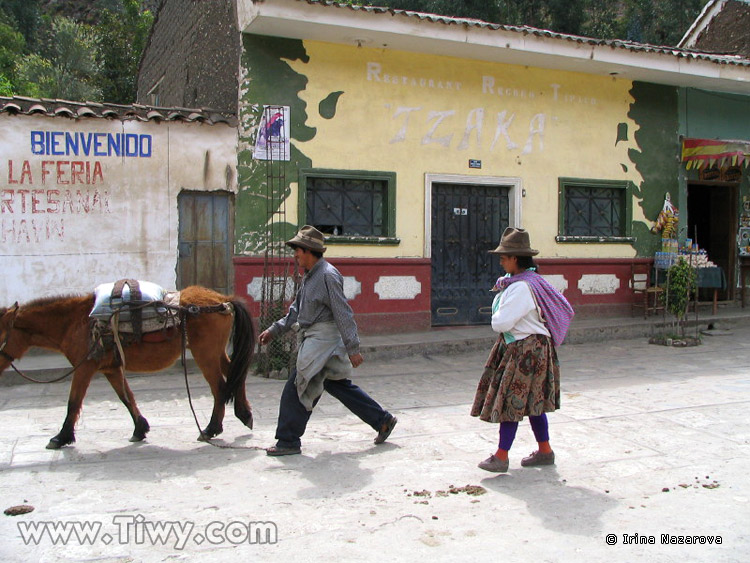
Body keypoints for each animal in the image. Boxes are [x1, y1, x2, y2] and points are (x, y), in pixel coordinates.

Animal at [0, 286, 256, 450]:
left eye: (0, 334)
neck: (75, 323)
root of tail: (223, 299)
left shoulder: (85, 368)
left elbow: (73, 403)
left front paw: (61, 437)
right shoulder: (111, 369)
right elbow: (126, 397)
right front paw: (140, 429)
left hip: (206, 355)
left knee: (220, 387)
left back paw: (211, 429)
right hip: (214, 353)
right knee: (236, 372)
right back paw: (244, 414)